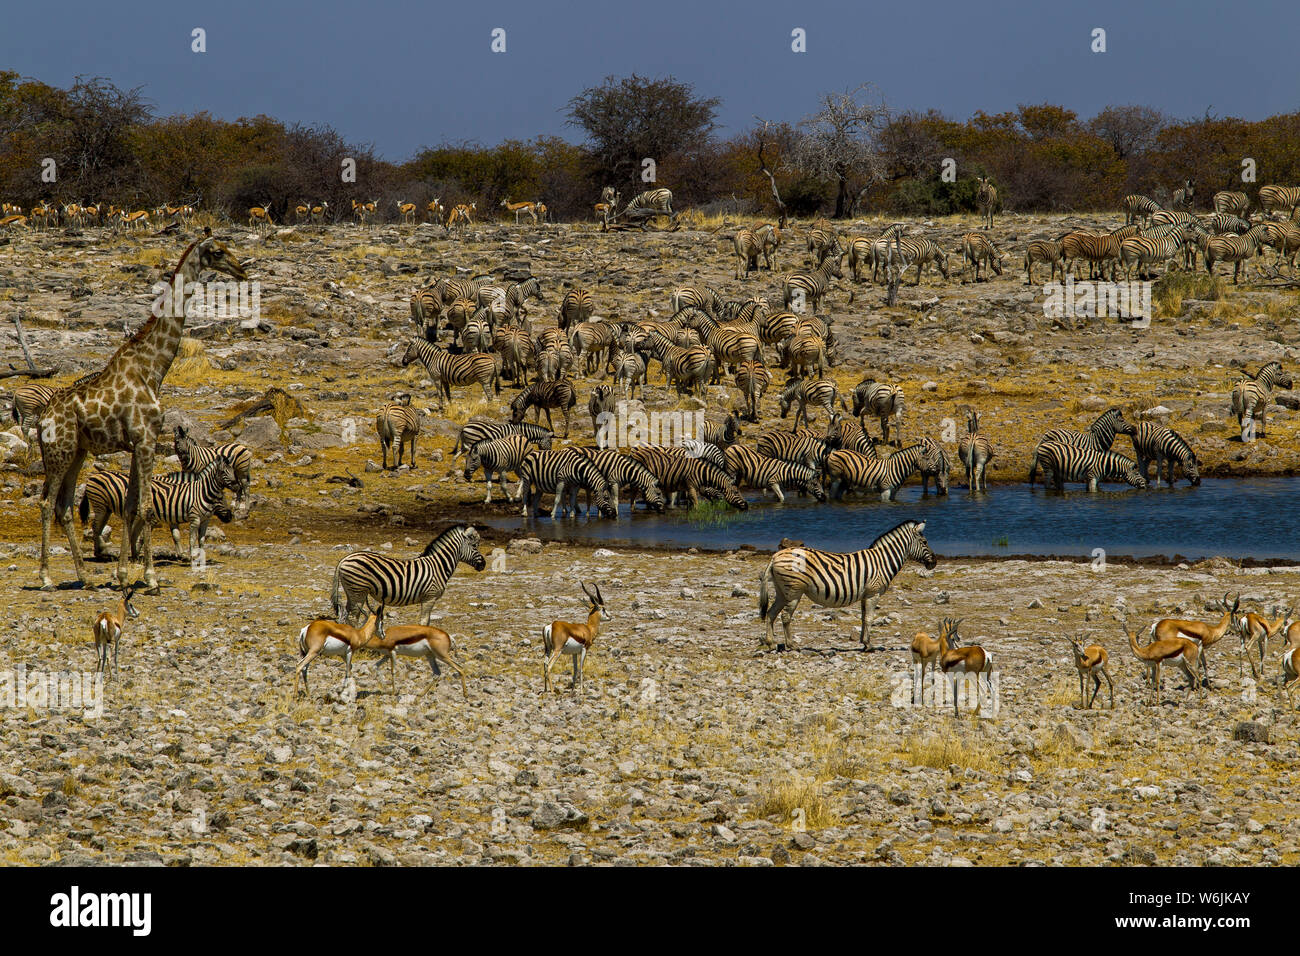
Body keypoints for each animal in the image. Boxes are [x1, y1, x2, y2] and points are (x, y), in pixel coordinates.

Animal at [78, 457, 237, 564]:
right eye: (220, 498)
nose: (230, 516)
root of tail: (93, 476)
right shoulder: (168, 517)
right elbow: (149, 537)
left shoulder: (177, 517)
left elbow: (180, 536)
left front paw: (185, 555)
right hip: (100, 505)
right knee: (96, 527)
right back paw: (101, 553)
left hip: (107, 509)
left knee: (100, 528)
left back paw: (104, 552)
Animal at [327, 522, 486, 629]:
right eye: (475, 546)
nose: (483, 565)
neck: (438, 565)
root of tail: (345, 559)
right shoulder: (429, 597)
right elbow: (424, 622)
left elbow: (426, 621)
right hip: (358, 590)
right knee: (353, 617)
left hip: (352, 592)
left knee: (346, 615)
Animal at [759, 520, 941, 655]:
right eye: (925, 542)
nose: (934, 562)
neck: (883, 561)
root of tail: (775, 556)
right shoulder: (873, 593)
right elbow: (870, 618)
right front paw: (869, 645)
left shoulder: (865, 594)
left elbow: (863, 618)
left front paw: (863, 642)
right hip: (794, 591)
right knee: (785, 617)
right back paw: (791, 645)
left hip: (782, 591)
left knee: (771, 613)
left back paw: (771, 643)